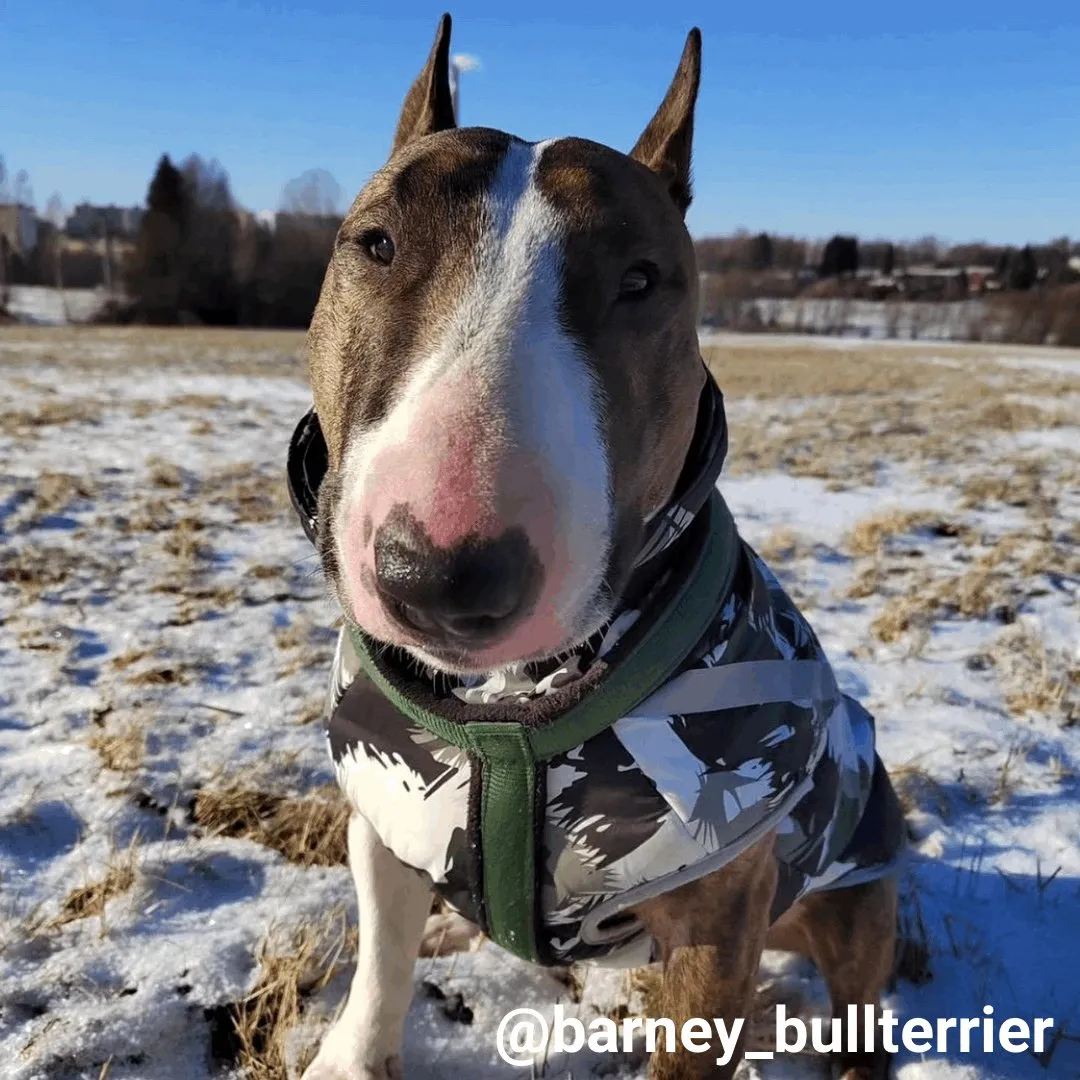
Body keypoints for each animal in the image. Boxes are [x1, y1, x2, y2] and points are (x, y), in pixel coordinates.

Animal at [282, 12, 907, 1075]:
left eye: (642, 279)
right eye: (375, 243)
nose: (439, 575)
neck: (506, 713)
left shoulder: (718, 921)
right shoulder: (385, 812)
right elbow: (379, 961)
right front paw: (351, 1051)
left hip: (856, 887)